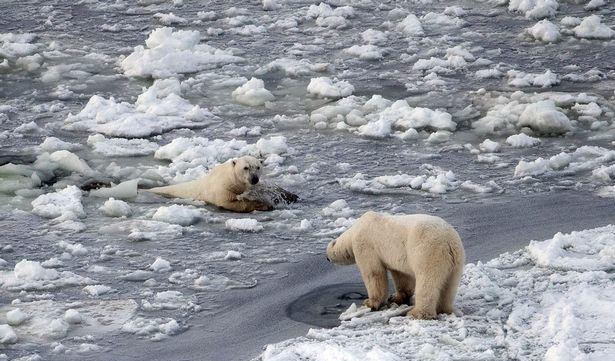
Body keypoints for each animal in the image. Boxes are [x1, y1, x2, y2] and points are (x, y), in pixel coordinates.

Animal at [147, 155, 296, 211]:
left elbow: (267, 188)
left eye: (258, 167)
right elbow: (230, 203)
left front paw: (291, 195)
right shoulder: (222, 189)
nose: (254, 178)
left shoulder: (253, 186)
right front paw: (264, 205)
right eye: (246, 167)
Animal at [324, 211, 464, 318]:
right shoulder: (397, 256)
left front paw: (370, 302)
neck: (355, 229)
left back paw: (418, 313)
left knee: (427, 283)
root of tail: (448, 242)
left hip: (428, 253)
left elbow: (374, 273)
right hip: (456, 262)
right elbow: (402, 276)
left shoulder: (366, 245)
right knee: (449, 286)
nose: (326, 258)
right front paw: (396, 297)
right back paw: (444, 309)